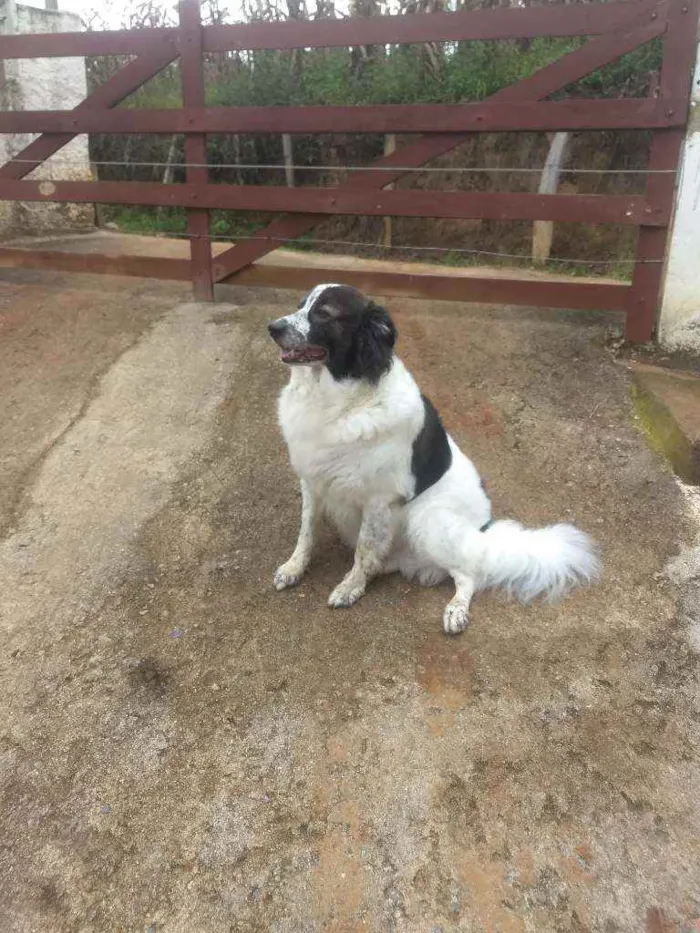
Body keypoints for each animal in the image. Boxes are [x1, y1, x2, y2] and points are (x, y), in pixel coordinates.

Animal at [268, 284, 600, 632]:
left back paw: (455, 610)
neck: (341, 402)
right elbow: (307, 533)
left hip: (426, 520)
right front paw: (293, 569)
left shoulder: (378, 499)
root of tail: (482, 533)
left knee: (469, 574)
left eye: (324, 313)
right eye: (301, 305)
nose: (272, 328)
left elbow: (364, 549)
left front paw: (350, 587)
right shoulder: (312, 481)